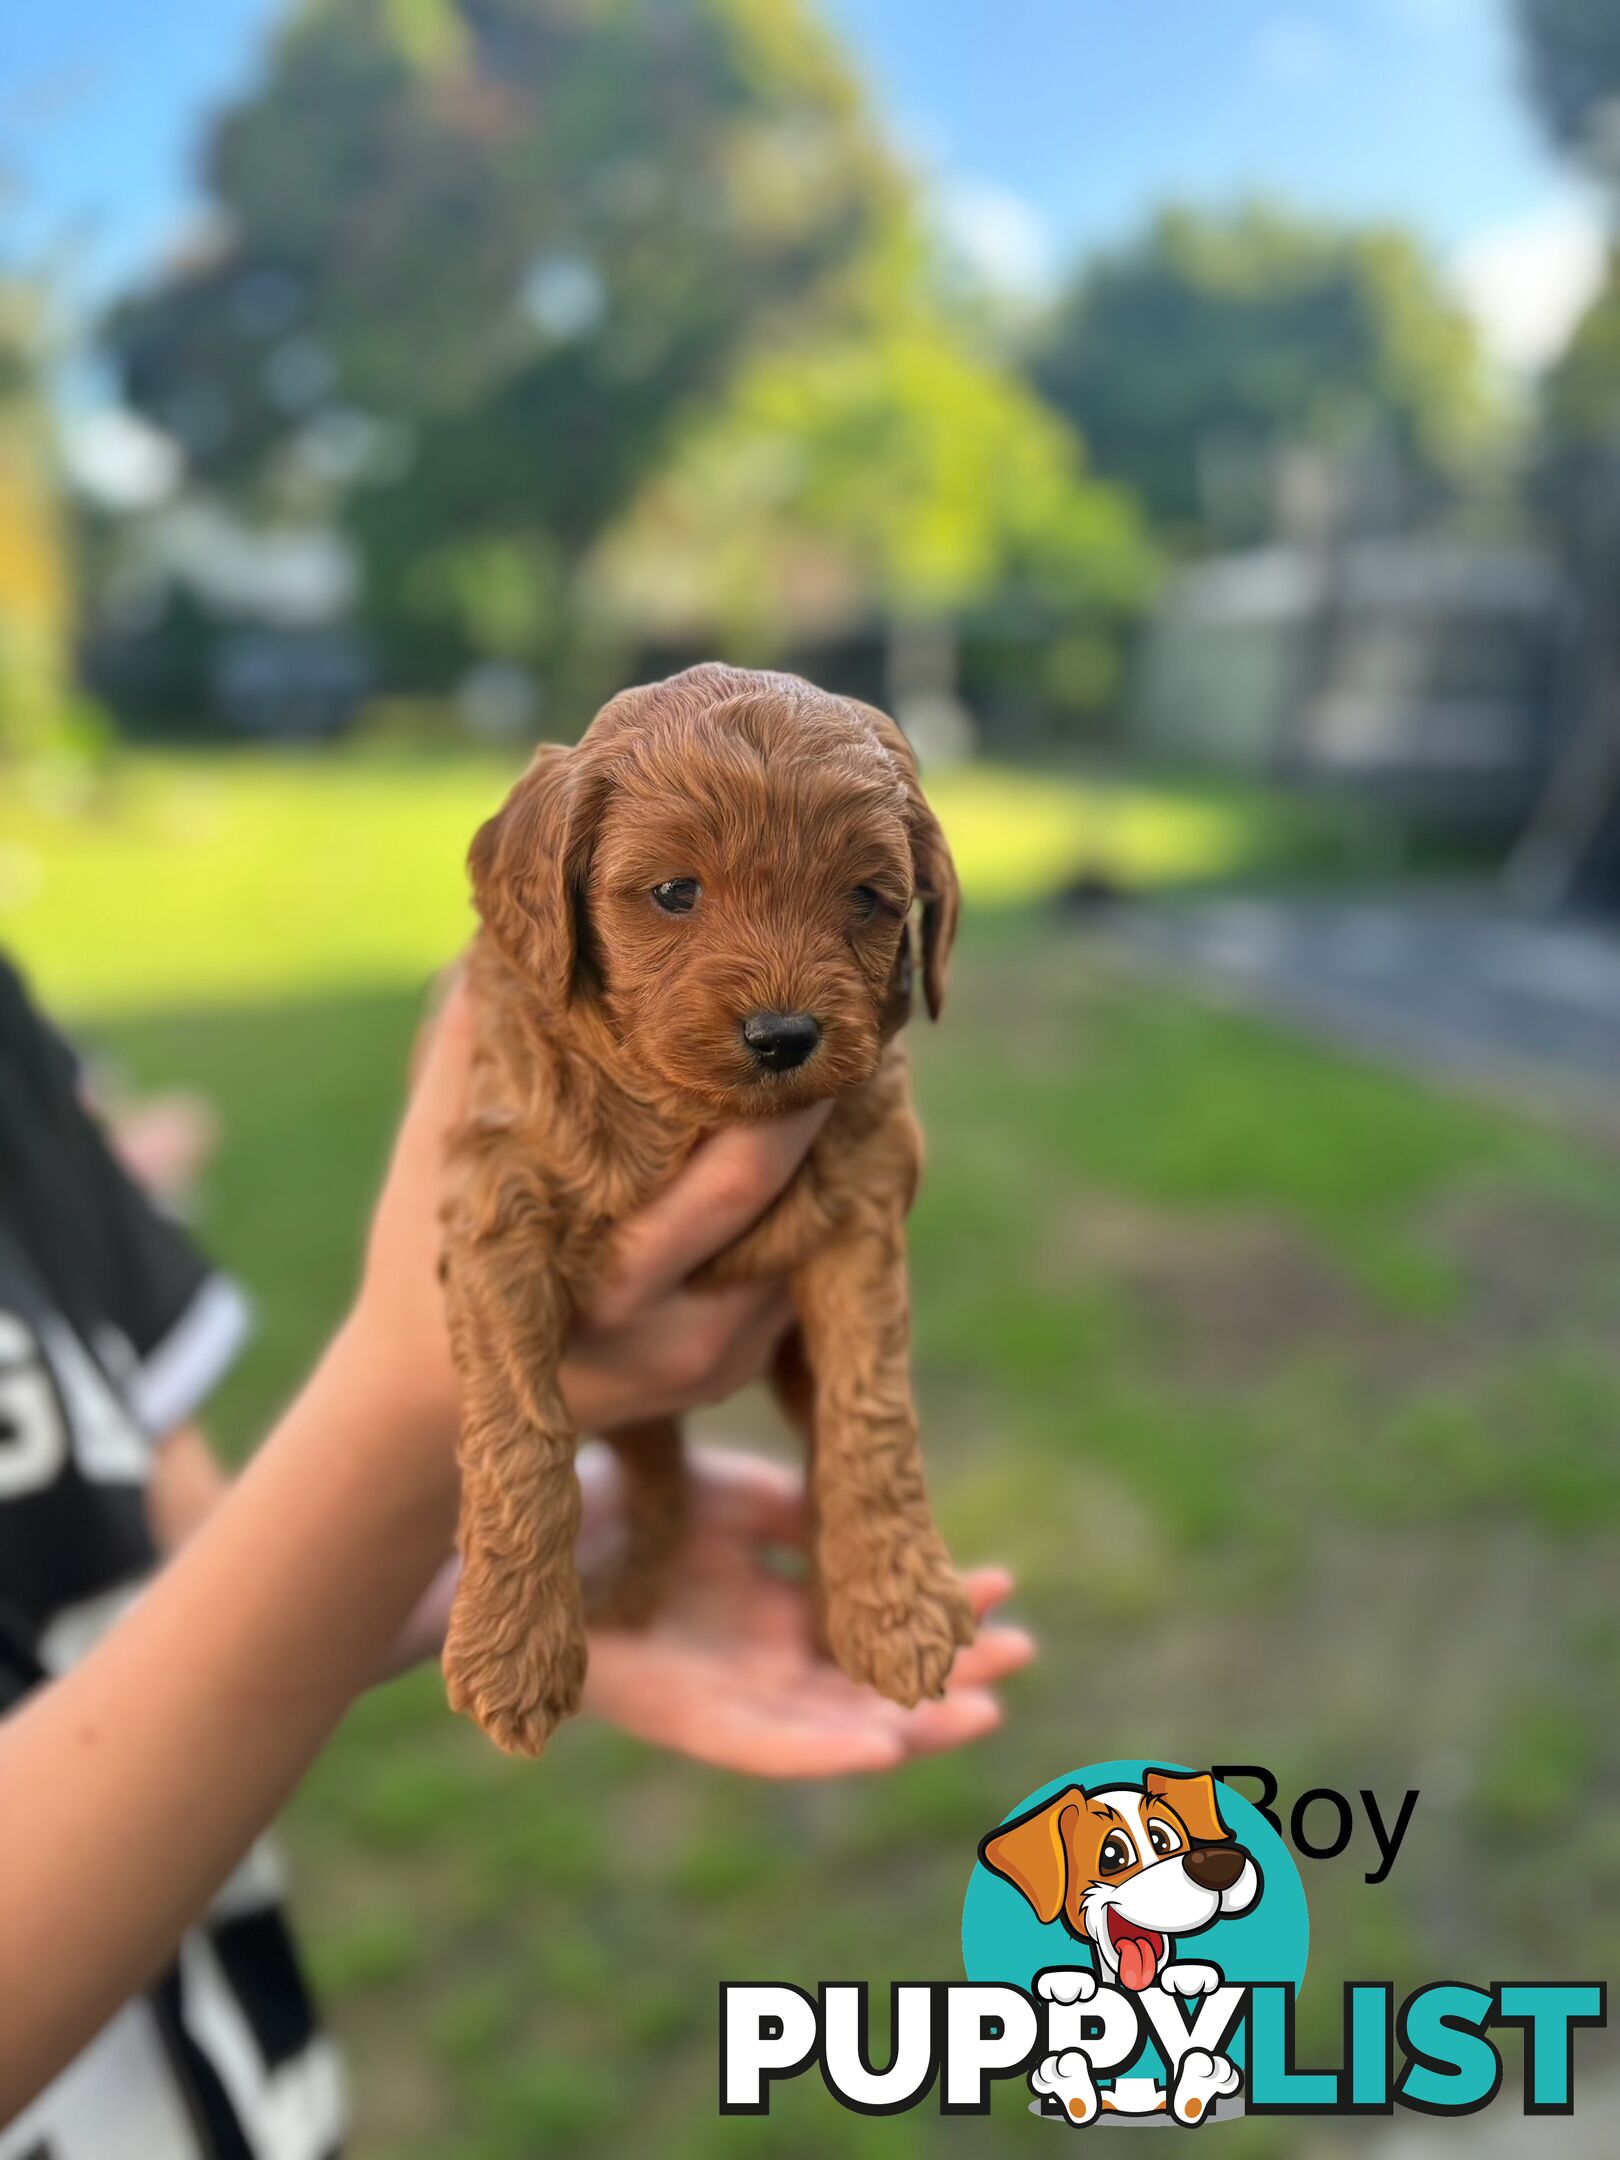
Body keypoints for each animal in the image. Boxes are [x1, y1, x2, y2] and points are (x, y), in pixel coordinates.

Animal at [440, 656, 976, 1753]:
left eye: (868, 897)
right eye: (675, 892)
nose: (784, 1036)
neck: (686, 1118)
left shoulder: (861, 1210)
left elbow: (870, 1417)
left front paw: (896, 1612)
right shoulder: (499, 1198)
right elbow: (519, 1432)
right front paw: (512, 1650)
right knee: (658, 1477)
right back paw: (636, 1594)